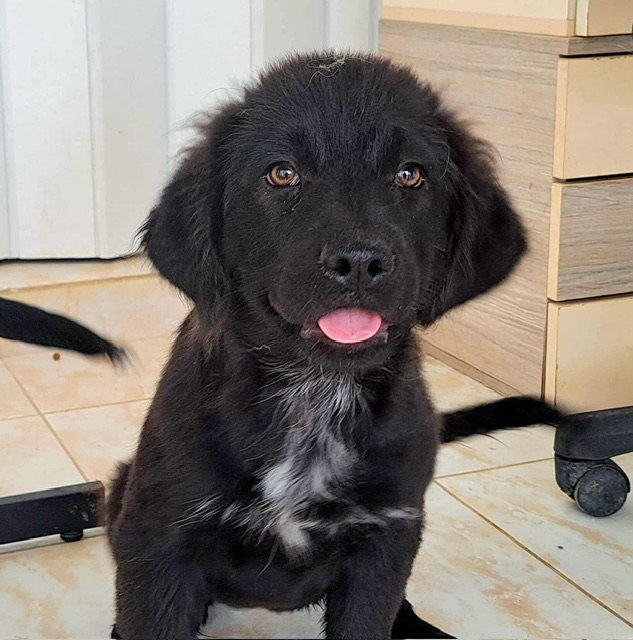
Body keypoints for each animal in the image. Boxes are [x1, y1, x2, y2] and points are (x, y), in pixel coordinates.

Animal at [106, 53, 562, 639]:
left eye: (410, 174)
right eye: (282, 173)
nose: (360, 262)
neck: (315, 393)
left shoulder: (387, 537)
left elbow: (371, 615)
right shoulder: (160, 533)